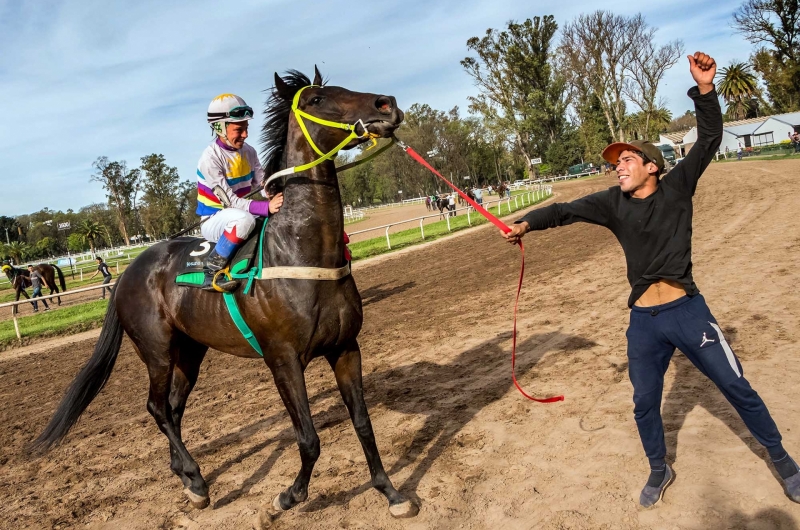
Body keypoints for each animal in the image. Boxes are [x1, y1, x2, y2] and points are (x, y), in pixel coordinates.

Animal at [29, 68, 418, 516]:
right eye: (318, 99)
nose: (386, 104)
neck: (298, 250)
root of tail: (129, 273)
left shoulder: (345, 347)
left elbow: (363, 425)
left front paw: (391, 493)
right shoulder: (283, 359)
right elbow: (309, 438)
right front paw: (288, 496)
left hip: (189, 351)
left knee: (173, 409)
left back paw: (186, 476)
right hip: (157, 351)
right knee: (156, 408)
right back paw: (196, 478)